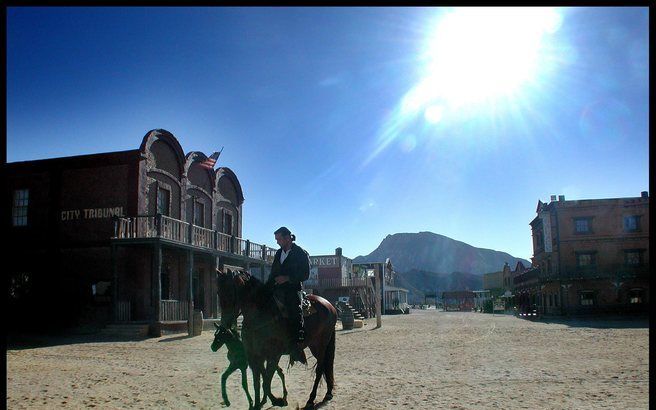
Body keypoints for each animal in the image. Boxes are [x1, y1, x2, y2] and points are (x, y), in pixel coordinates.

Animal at [219, 270, 336, 410]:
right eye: (218, 292)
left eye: (231, 293)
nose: (225, 324)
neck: (260, 316)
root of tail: (329, 305)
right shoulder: (254, 357)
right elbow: (258, 383)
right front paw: (258, 404)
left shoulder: (273, 355)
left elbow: (266, 382)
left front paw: (278, 400)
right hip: (314, 345)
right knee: (324, 366)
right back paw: (328, 393)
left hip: (321, 344)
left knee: (320, 368)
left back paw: (311, 400)